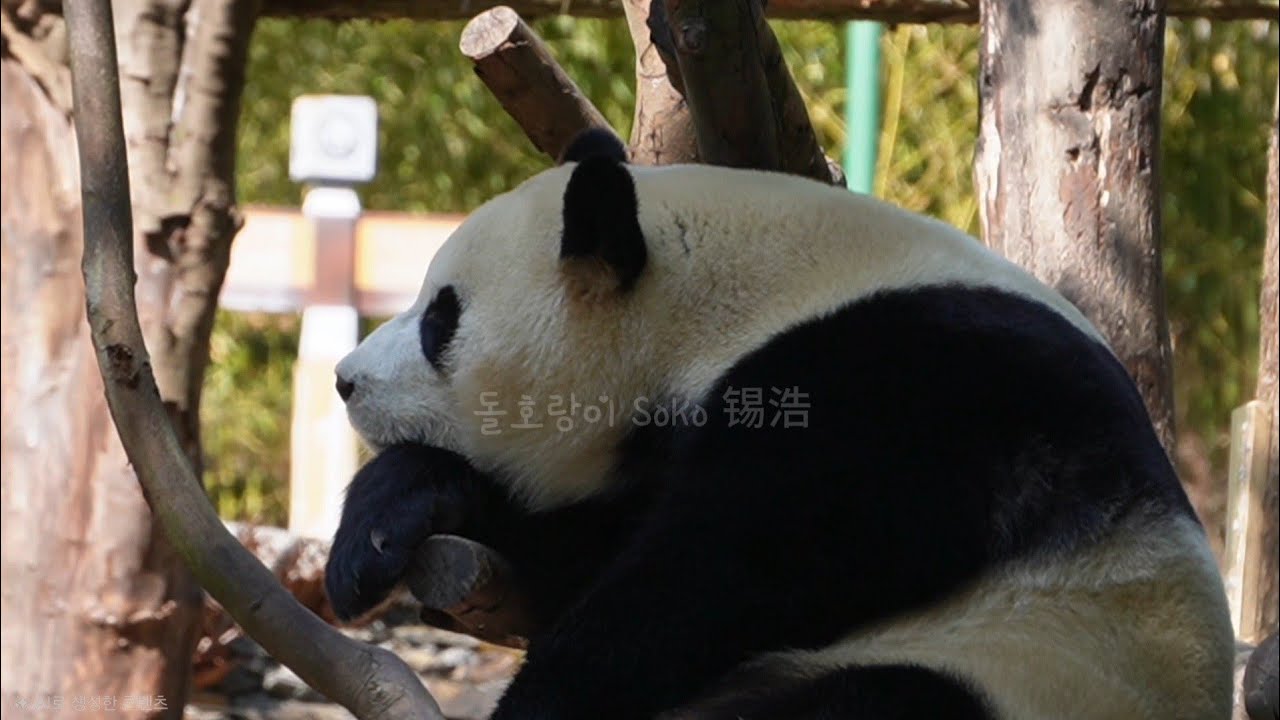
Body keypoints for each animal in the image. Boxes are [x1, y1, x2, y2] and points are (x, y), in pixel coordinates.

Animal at [325, 129, 1234, 720]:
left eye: (441, 320)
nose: (345, 380)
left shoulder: (905, 395)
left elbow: (718, 576)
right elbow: (584, 548)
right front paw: (380, 529)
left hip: (1032, 670)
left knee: (882, 704)